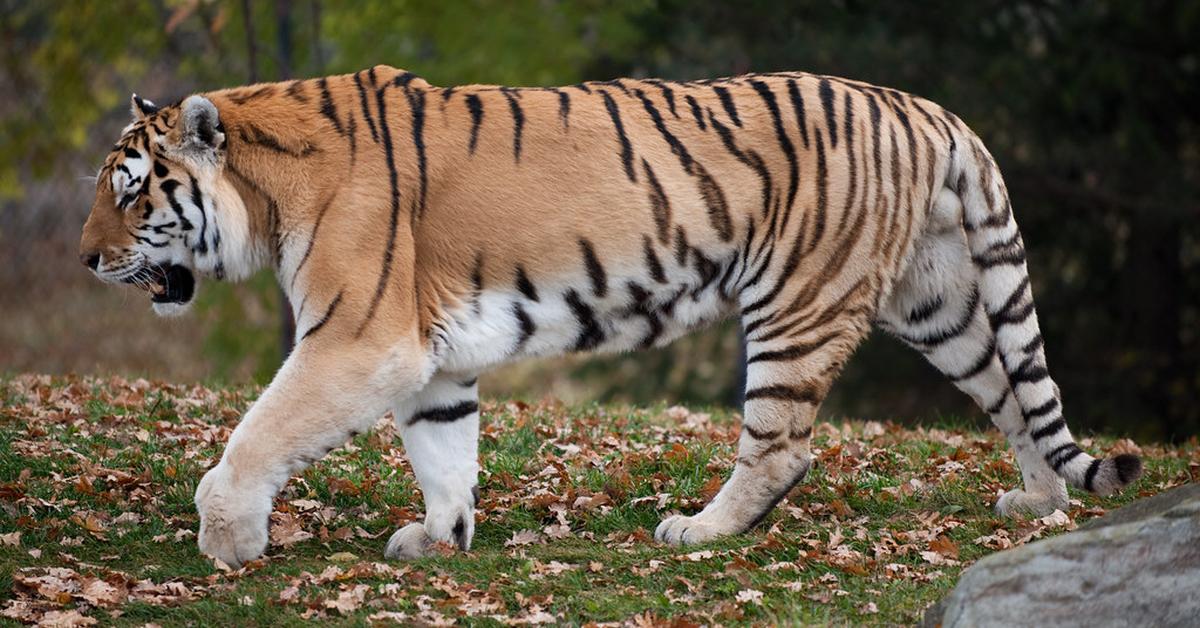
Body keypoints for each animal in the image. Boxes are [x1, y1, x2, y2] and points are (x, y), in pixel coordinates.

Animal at [77, 66, 1142, 566]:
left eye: (131, 193)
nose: (86, 259)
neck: (268, 191)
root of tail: (929, 111)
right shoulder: (429, 355)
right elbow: (443, 451)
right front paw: (441, 537)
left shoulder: (357, 340)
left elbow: (254, 438)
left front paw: (227, 540)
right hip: (940, 302)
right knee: (1014, 394)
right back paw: (1039, 502)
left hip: (796, 303)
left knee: (783, 447)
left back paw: (700, 531)